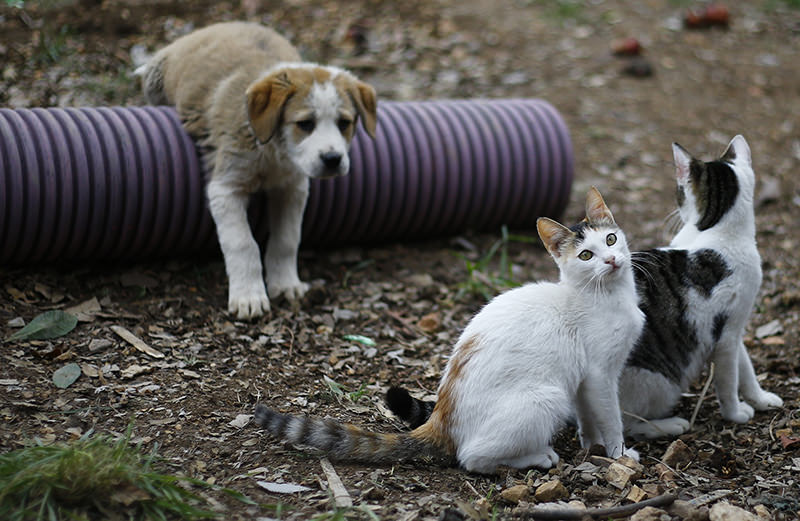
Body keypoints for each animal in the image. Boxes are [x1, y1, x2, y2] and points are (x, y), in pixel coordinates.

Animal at [136, 21, 376, 316]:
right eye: (305, 124)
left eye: (344, 123)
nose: (333, 159)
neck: (274, 152)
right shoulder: (225, 187)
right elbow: (243, 243)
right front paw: (248, 297)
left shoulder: (293, 188)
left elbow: (287, 239)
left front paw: (285, 284)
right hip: (154, 80)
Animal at [256, 189, 644, 474]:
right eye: (585, 256)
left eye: (611, 239)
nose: (611, 260)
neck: (603, 295)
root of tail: (441, 418)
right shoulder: (600, 374)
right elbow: (611, 417)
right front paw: (619, 452)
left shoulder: (583, 379)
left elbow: (588, 415)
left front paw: (590, 443)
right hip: (546, 397)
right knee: (472, 458)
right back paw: (537, 456)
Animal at [390, 134, 784, 438]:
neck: (715, 234)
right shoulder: (725, 333)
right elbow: (729, 378)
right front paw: (736, 412)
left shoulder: (736, 324)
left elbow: (746, 367)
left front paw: (761, 398)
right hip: (656, 383)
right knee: (626, 421)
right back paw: (668, 426)